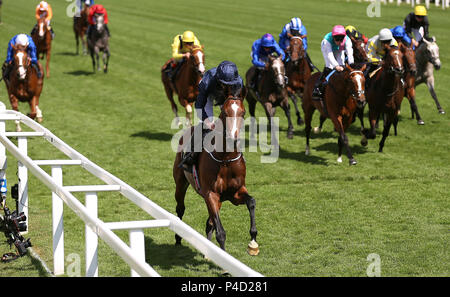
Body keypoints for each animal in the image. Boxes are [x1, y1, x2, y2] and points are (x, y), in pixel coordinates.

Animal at [172, 87, 258, 254]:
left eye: (243, 112)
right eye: (225, 112)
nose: (233, 138)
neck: (225, 159)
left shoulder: (235, 193)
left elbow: (251, 201)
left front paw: (253, 240)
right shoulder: (211, 194)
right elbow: (221, 232)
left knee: (210, 221)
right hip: (181, 183)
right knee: (180, 208)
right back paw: (178, 237)